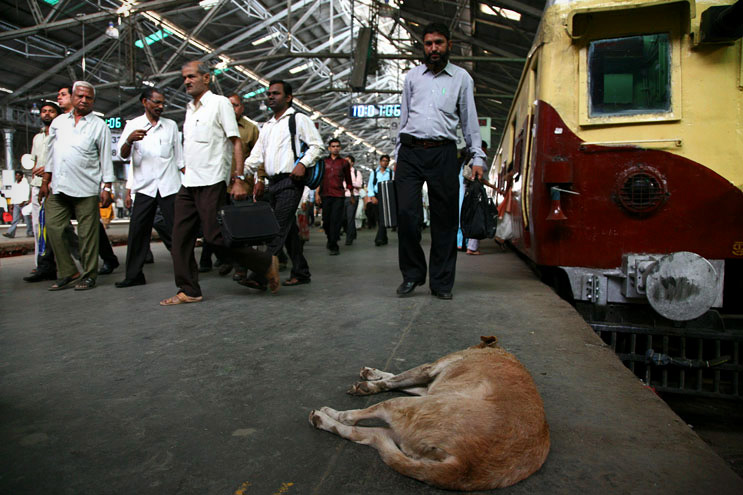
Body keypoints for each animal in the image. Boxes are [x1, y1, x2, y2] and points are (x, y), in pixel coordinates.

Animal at [306, 338, 548, 492]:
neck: (496, 350)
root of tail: (464, 465)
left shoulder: (428, 370)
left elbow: (395, 380)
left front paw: (369, 382)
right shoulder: (428, 387)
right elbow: (396, 378)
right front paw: (372, 376)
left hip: (402, 406)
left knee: (353, 419)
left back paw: (331, 414)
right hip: (407, 431)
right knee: (363, 434)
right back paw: (322, 419)